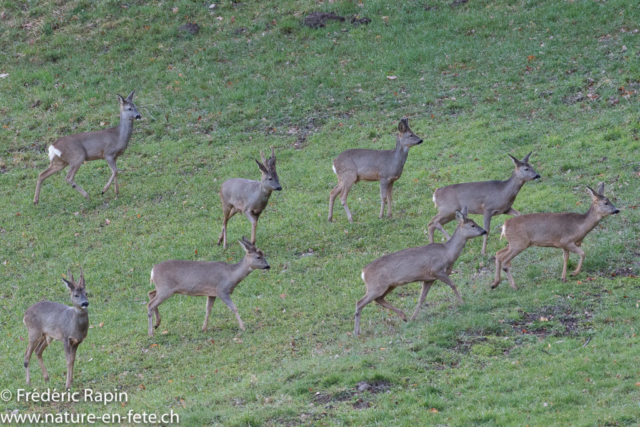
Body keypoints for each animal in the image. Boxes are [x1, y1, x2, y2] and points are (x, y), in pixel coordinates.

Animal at [490, 182, 620, 290]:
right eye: (606, 203)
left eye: (610, 201)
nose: (617, 210)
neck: (581, 226)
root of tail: (504, 226)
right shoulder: (566, 240)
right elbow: (583, 253)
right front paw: (574, 273)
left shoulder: (563, 245)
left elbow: (566, 258)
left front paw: (563, 278)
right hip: (519, 243)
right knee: (504, 260)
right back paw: (514, 286)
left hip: (514, 242)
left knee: (498, 254)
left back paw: (495, 283)